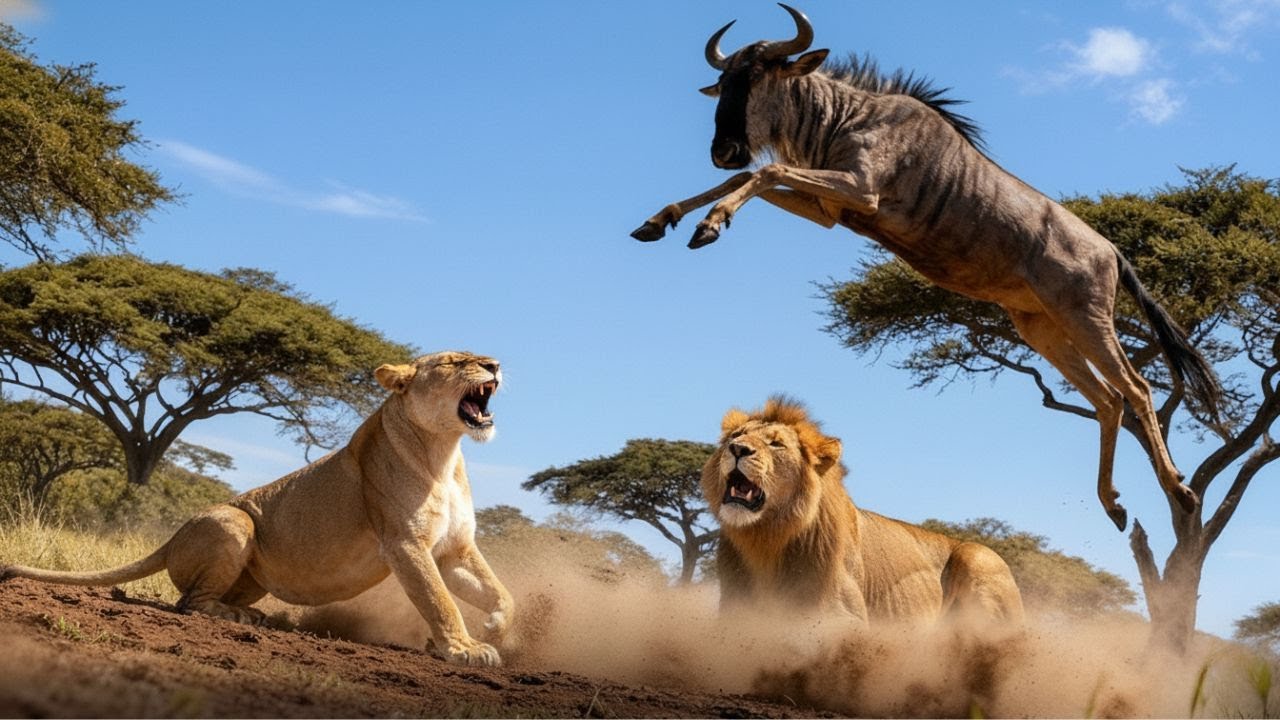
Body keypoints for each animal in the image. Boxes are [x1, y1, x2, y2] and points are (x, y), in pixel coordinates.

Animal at [1, 350, 514, 667]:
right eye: (454, 361)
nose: (494, 364)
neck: (444, 454)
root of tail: (171, 538)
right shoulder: (405, 543)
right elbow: (439, 600)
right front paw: (465, 649)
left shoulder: (454, 548)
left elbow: (499, 593)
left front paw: (497, 629)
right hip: (235, 521)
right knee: (189, 604)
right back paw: (241, 619)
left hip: (251, 572)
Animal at [706, 396, 1024, 626]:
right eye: (737, 435)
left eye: (776, 444)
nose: (738, 448)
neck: (767, 539)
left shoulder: (845, 616)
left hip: (978, 557)